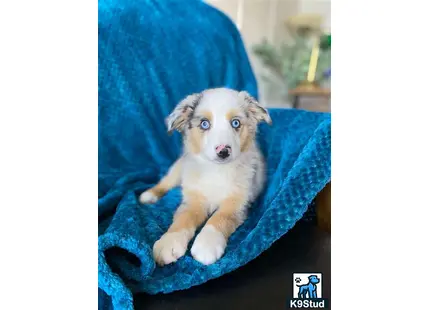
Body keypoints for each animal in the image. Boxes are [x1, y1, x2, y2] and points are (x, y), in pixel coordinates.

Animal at [139, 88, 270, 266]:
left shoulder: (236, 204)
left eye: (235, 123)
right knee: (166, 182)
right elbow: (182, 220)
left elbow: (219, 218)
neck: (217, 171)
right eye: (204, 124)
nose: (223, 151)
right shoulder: (194, 200)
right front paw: (169, 243)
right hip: (178, 168)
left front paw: (207, 245)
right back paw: (149, 195)